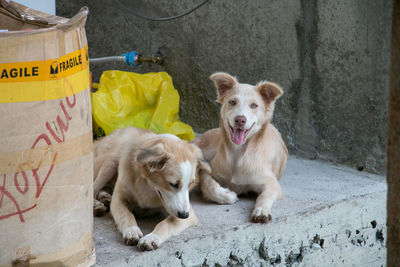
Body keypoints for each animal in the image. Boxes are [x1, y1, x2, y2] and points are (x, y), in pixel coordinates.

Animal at [194, 72, 288, 223]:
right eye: (232, 102)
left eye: (254, 105)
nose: (240, 120)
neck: (237, 153)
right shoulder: (209, 171)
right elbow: (208, 184)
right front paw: (227, 196)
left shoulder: (272, 183)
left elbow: (264, 196)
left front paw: (261, 211)